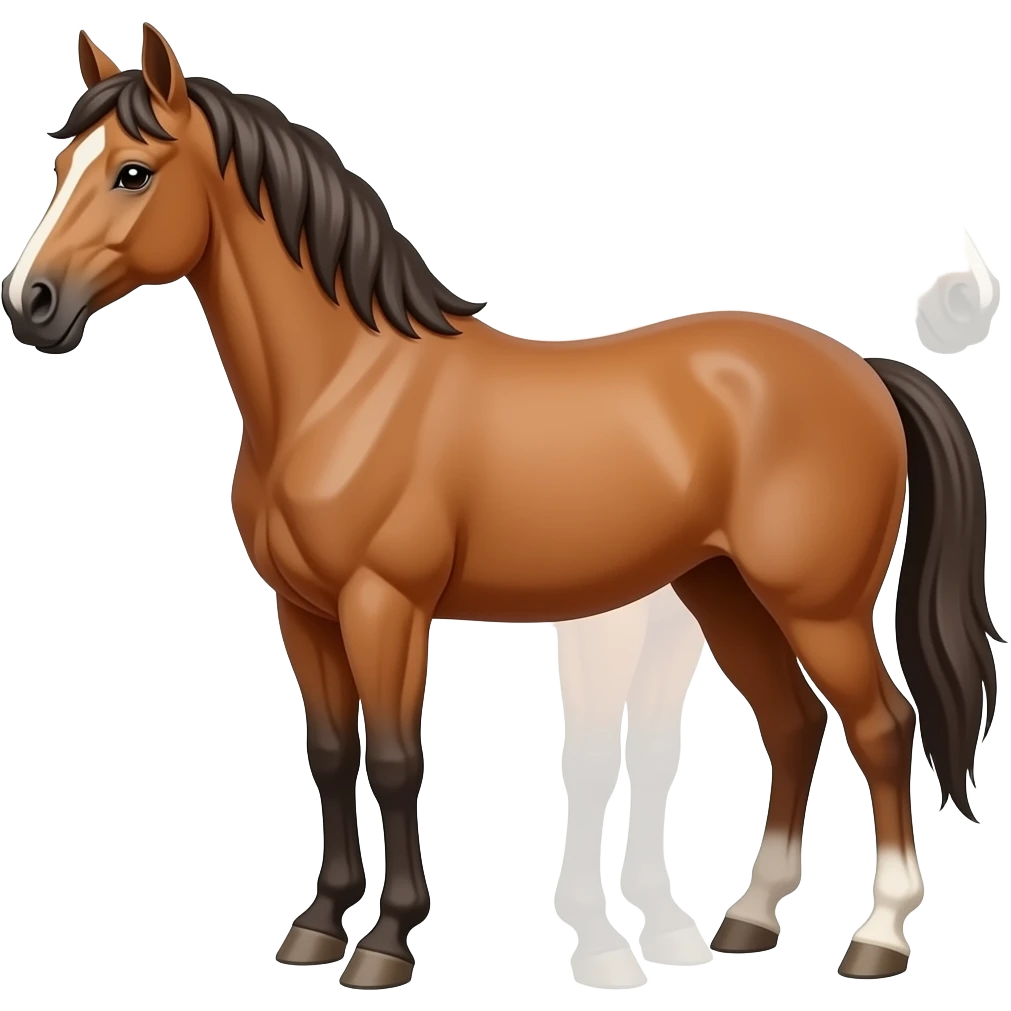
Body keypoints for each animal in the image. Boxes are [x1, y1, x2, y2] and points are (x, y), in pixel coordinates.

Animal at [2, 25, 1001, 988]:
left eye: (133, 171)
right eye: (61, 166)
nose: (31, 303)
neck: (343, 387)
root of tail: (862, 370)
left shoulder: (386, 605)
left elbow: (395, 759)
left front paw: (386, 943)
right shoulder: (303, 611)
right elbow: (330, 755)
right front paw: (318, 925)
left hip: (817, 606)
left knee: (881, 728)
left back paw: (877, 937)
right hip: (724, 593)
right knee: (792, 724)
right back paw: (749, 919)